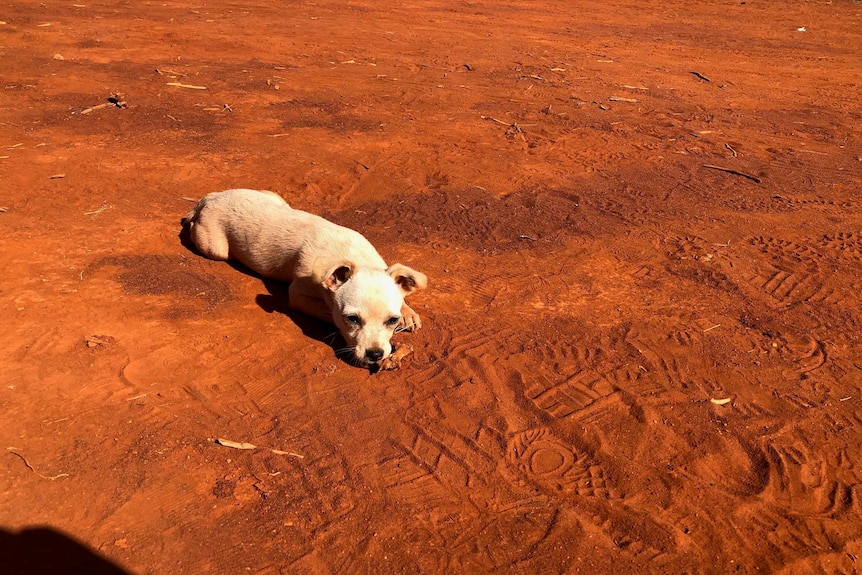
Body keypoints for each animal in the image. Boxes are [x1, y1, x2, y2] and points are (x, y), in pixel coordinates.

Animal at [184, 190, 426, 368]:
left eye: (392, 320)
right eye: (352, 319)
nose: (375, 354)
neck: (353, 256)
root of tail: (210, 197)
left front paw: (408, 312)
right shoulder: (297, 295)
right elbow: (327, 312)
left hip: (275, 197)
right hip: (214, 248)